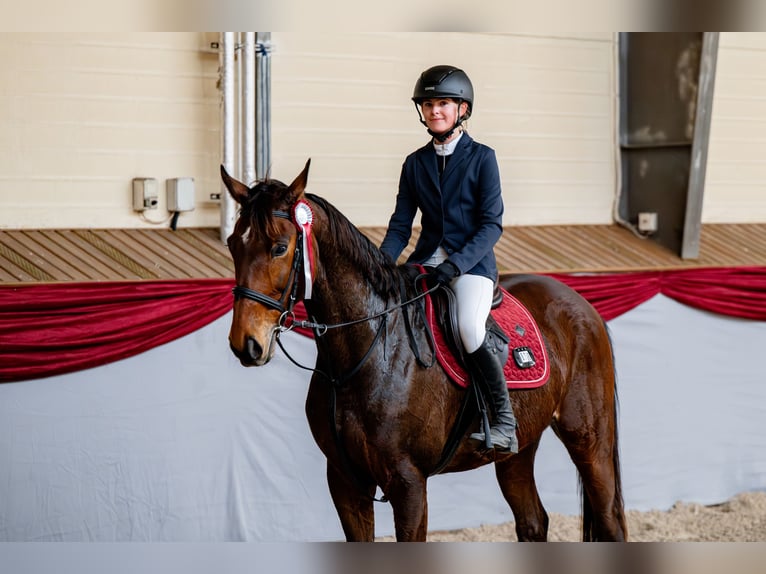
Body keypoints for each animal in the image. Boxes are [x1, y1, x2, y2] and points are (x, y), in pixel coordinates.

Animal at [221, 160, 627, 542]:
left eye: (279, 247)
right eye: (232, 244)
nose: (247, 343)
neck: (367, 353)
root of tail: (580, 302)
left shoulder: (409, 482)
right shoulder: (345, 481)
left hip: (589, 438)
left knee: (609, 519)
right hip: (519, 447)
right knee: (532, 522)